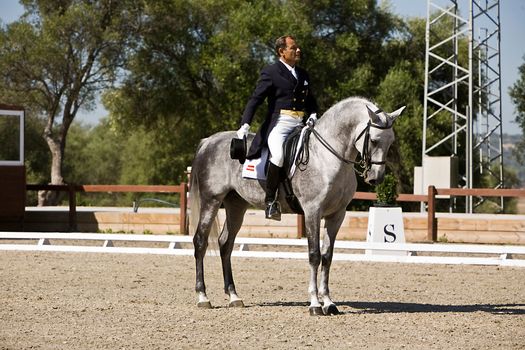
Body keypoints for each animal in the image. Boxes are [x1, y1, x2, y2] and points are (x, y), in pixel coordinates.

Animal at [190, 97, 404, 316]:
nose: (376, 178)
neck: (327, 156)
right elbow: (314, 255)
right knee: (200, 241)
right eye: (374, 140)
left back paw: (234, 296)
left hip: (236, 205)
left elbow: (327, 256)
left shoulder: (337, 215)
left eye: (391, 142)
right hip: (211, 200)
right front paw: (315, 304)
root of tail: (209, 141)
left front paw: (329, 303)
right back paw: (203, 297)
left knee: (225, 244)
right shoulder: (312, 211)